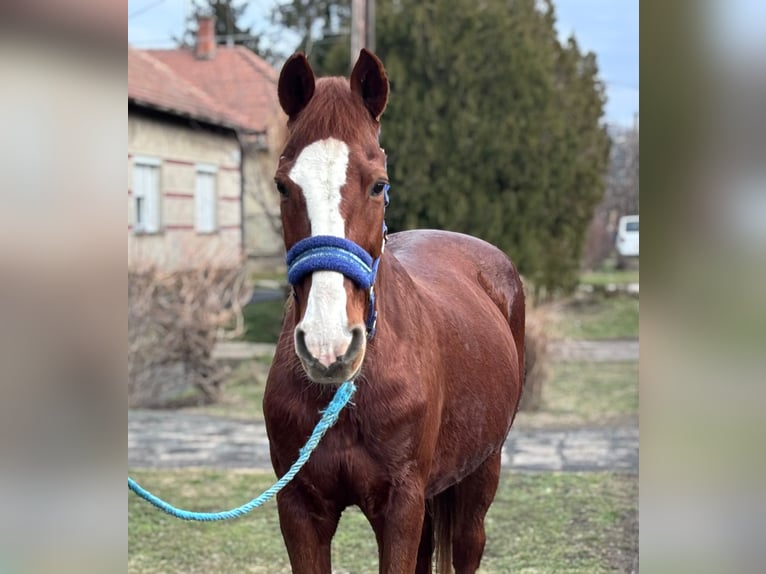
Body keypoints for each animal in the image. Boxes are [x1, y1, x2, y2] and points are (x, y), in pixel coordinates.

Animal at [264, 49, 525, 574]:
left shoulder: (401, 506)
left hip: (481, 474)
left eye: (378, 185)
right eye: (283, 186)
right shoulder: (299, 508)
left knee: (467, 544)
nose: (328, 345)